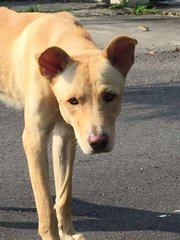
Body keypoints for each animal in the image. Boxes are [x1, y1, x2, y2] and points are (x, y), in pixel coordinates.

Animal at [0, 7, 137, 240]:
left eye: (109, 96)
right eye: (73, 100)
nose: (98, 142)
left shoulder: (66, 136)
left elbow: (64, 193)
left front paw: (67, 232)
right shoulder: (34, 138)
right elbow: (45, 202)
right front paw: (51, 234)